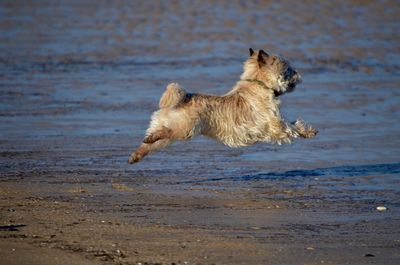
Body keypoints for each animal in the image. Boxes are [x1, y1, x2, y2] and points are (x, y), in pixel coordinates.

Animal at [128, 48, 316, 163]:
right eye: (288, 69)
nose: (298, 75)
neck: (259, 84)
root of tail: (183, 97)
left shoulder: (275, 123)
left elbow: (293, 123)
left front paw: (308, 131)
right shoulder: (274, 123)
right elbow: (290, 127)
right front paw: (305, 131)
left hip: (170, 132)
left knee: (150, 144)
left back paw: (136, 155)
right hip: (185, 129)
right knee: (164, 133)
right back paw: (150, 138)